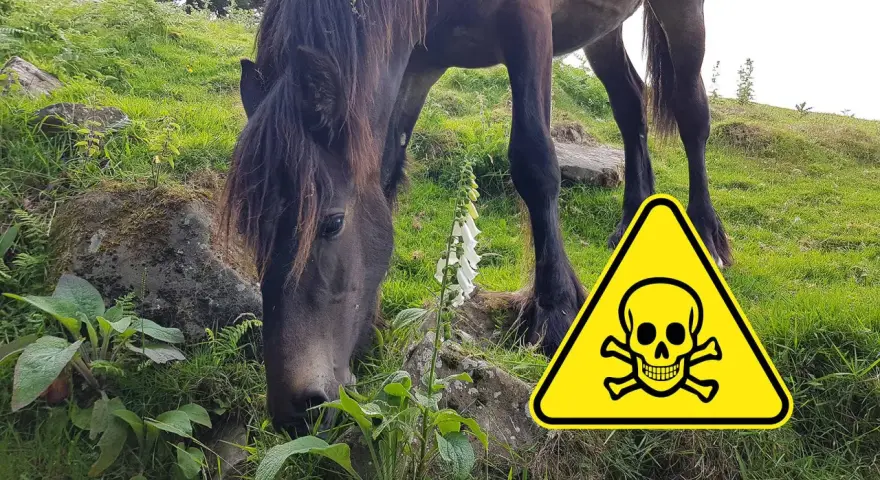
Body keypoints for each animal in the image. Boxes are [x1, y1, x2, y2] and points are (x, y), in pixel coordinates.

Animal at [223, 0, 731, 434]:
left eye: (331, 223)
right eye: (250, 232)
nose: (295, 409)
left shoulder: (529, 24)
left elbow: (534, 159)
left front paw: (556, 309)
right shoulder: (418, 63)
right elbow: (386, 169)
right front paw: (367, 329)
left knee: (690, 109)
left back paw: (707, 232)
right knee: (630, 103)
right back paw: (633, 219)